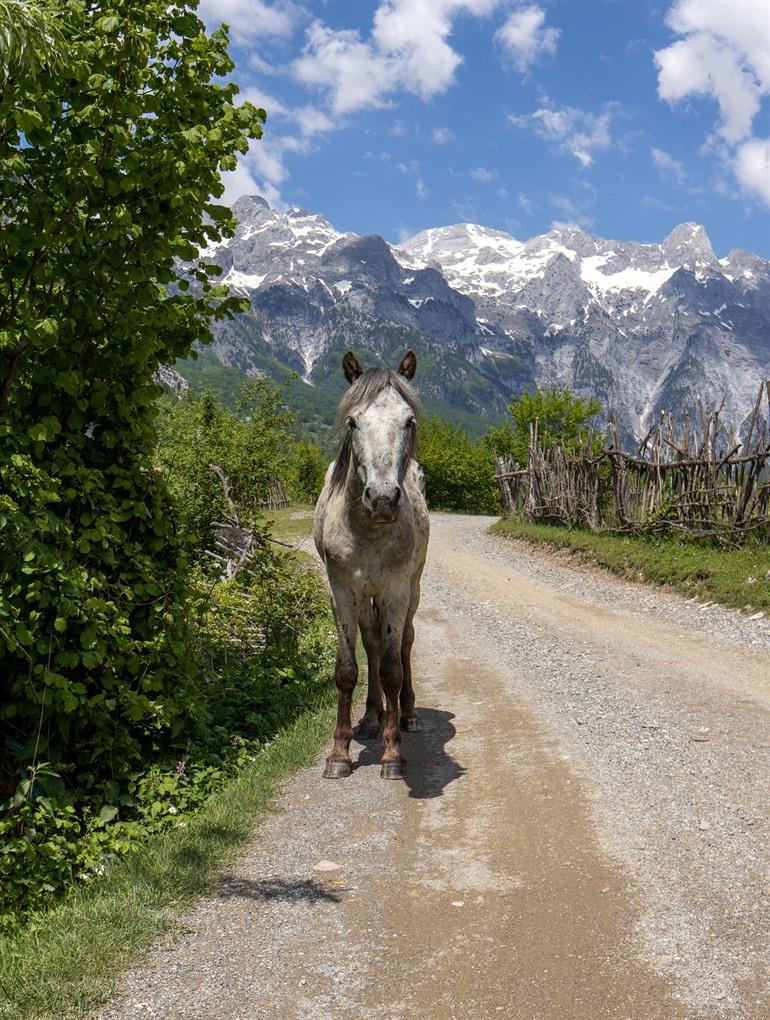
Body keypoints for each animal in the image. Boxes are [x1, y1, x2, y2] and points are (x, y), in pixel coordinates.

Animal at [314, 350, 434, 779]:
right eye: (353, 422)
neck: (366, 530)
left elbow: (393, 670)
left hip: (412, 590)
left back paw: (407, 715)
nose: (382, 498)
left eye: (409, 421)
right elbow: (348, 669)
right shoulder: (342, 592)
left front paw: (393, 754)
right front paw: (339, 752)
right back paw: (370, 718)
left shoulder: (395, 591)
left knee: (405, 644)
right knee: (373, 644)